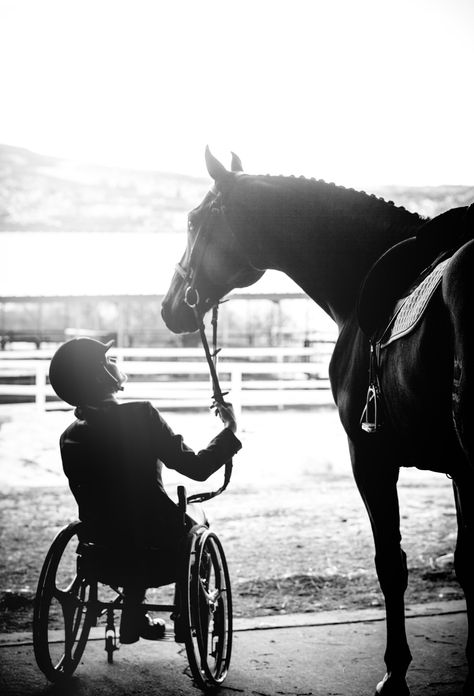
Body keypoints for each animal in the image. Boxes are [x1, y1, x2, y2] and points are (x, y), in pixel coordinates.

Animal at [160, 150, 474, 692]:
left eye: (194, 221)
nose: (170, 306)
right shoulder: (456, 471)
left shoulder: (370, 457)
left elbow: (391, 564)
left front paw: (394, 672)